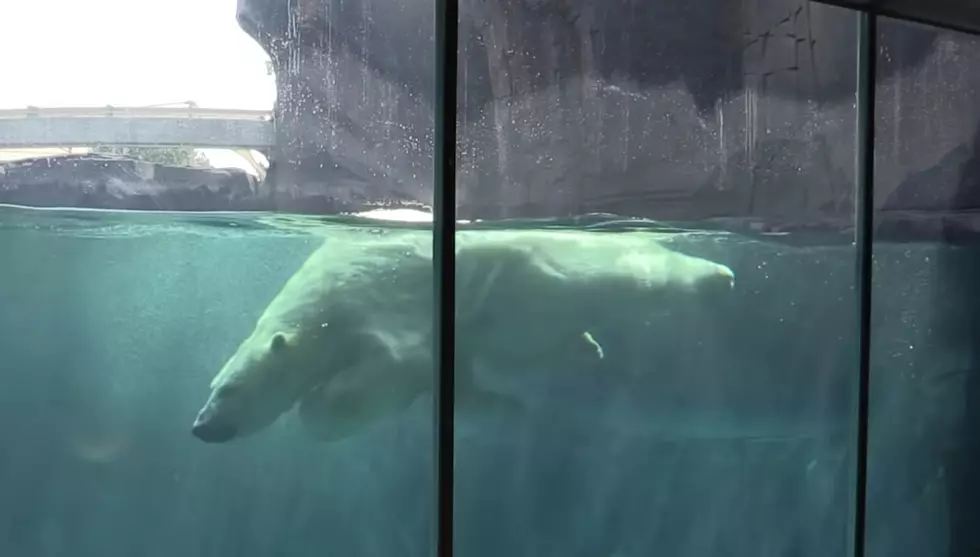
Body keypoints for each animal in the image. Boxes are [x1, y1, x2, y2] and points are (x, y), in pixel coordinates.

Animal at [189, 227, 736, 444]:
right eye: (213, 387)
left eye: (230, 389)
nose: (201, 426)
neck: (320, 305)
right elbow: (462, 387)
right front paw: (509, 408)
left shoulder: (374, 303)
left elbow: (390, 368)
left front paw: (325, 402)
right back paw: (586, 348)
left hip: (558, 271)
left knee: (634, 275)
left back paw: (718, 275)